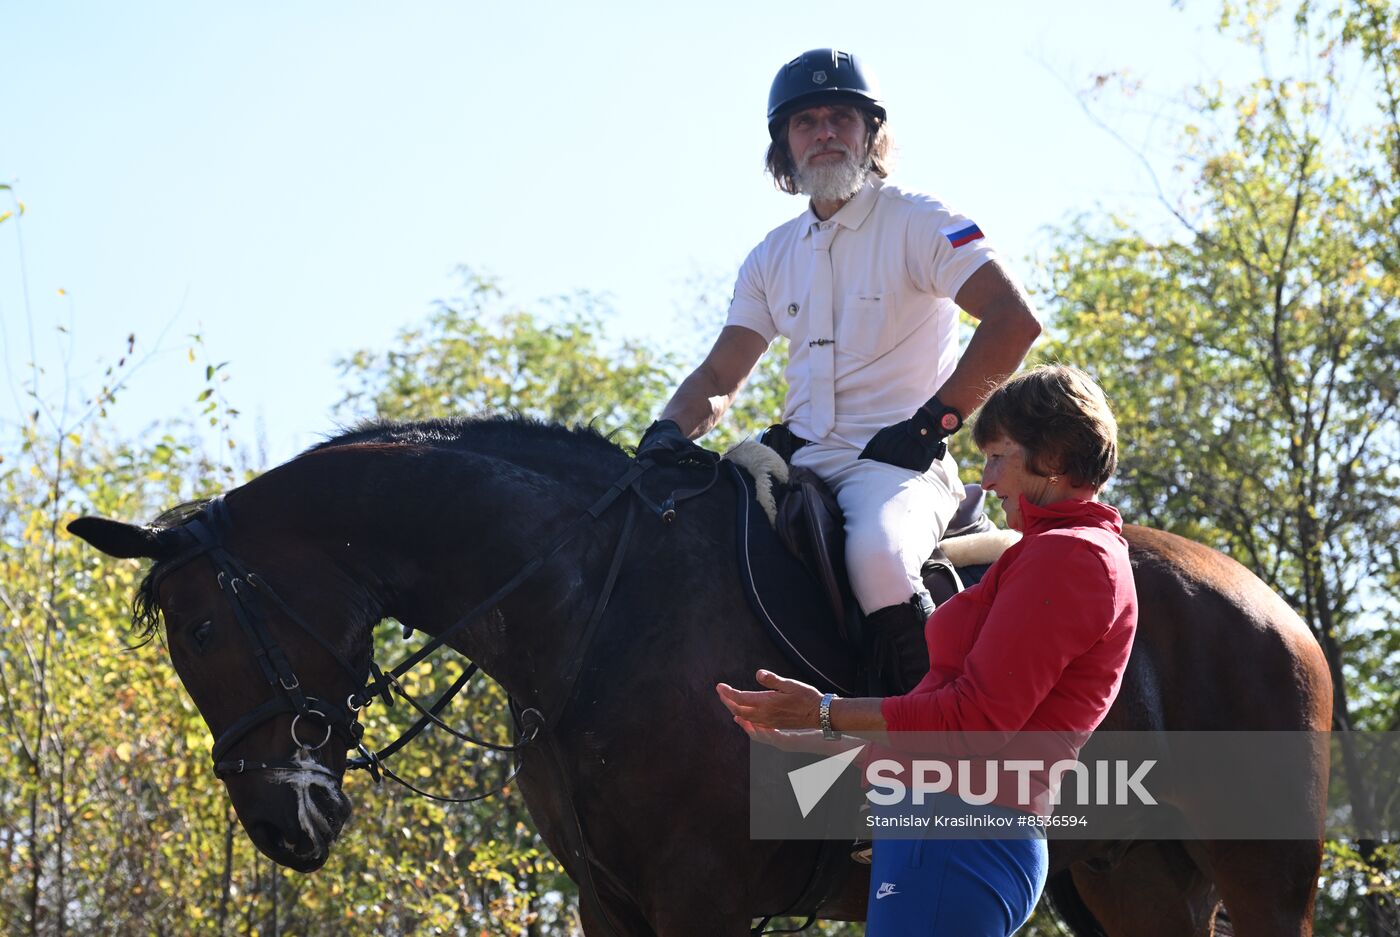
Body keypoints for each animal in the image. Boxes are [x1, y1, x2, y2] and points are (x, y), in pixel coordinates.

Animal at [68, 417, 1332, 935]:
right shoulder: (611, 899)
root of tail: (1264, 601)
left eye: (207, 629)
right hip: (1121, 880)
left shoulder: (701, 894)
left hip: (1257, 876)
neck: (590, 608)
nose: (285, 823)